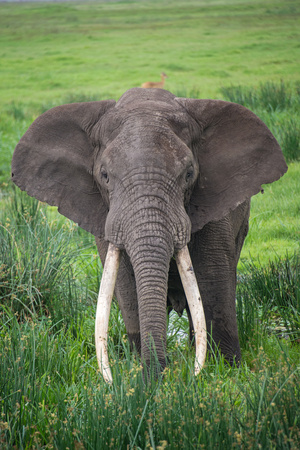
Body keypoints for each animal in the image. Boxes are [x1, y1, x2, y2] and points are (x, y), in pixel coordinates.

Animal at [11, 87, 288, 380]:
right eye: (104, 175)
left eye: (189, 174)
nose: (159, 378)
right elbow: (125, 281)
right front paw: (137, 372)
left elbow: (213, 278)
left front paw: (224, 371)